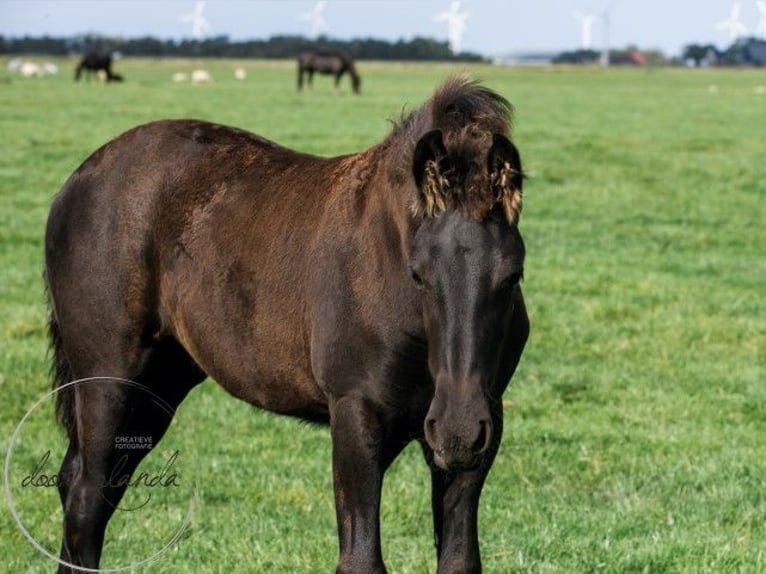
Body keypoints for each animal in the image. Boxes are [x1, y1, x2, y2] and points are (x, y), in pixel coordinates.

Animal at [44, 75, 528, 573]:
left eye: (513, 275)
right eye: (417, 275)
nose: (457, 430)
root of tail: (77, 180)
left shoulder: (480, 429)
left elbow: (459, 559)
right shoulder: (354, 416)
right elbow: (361, 559)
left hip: (161, 382)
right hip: (107, 380)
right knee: (87, 497)